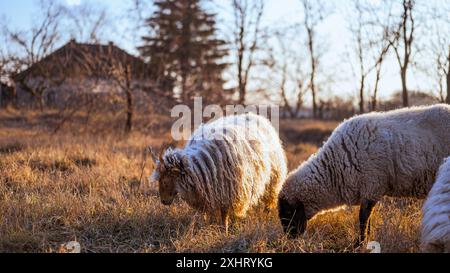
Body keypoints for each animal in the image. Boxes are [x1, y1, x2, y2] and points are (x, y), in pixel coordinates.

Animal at [149, 111, 286, 231]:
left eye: (165, 181)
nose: (163, 201)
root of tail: (256, 116)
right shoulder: (207, 194)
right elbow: (208, 214)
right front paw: (207, 226)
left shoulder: (228, 193)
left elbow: (224, 215)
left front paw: (224, 231)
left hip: (273, 181)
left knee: (268, 204)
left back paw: (265, 220)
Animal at [278, 103, 450, 242]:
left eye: (289, 211)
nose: (290, 240)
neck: (334, 170)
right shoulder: (369, 190)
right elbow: (367, 220)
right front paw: (365, 240)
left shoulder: (371, 186)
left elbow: (363, 218)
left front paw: (359, 243)